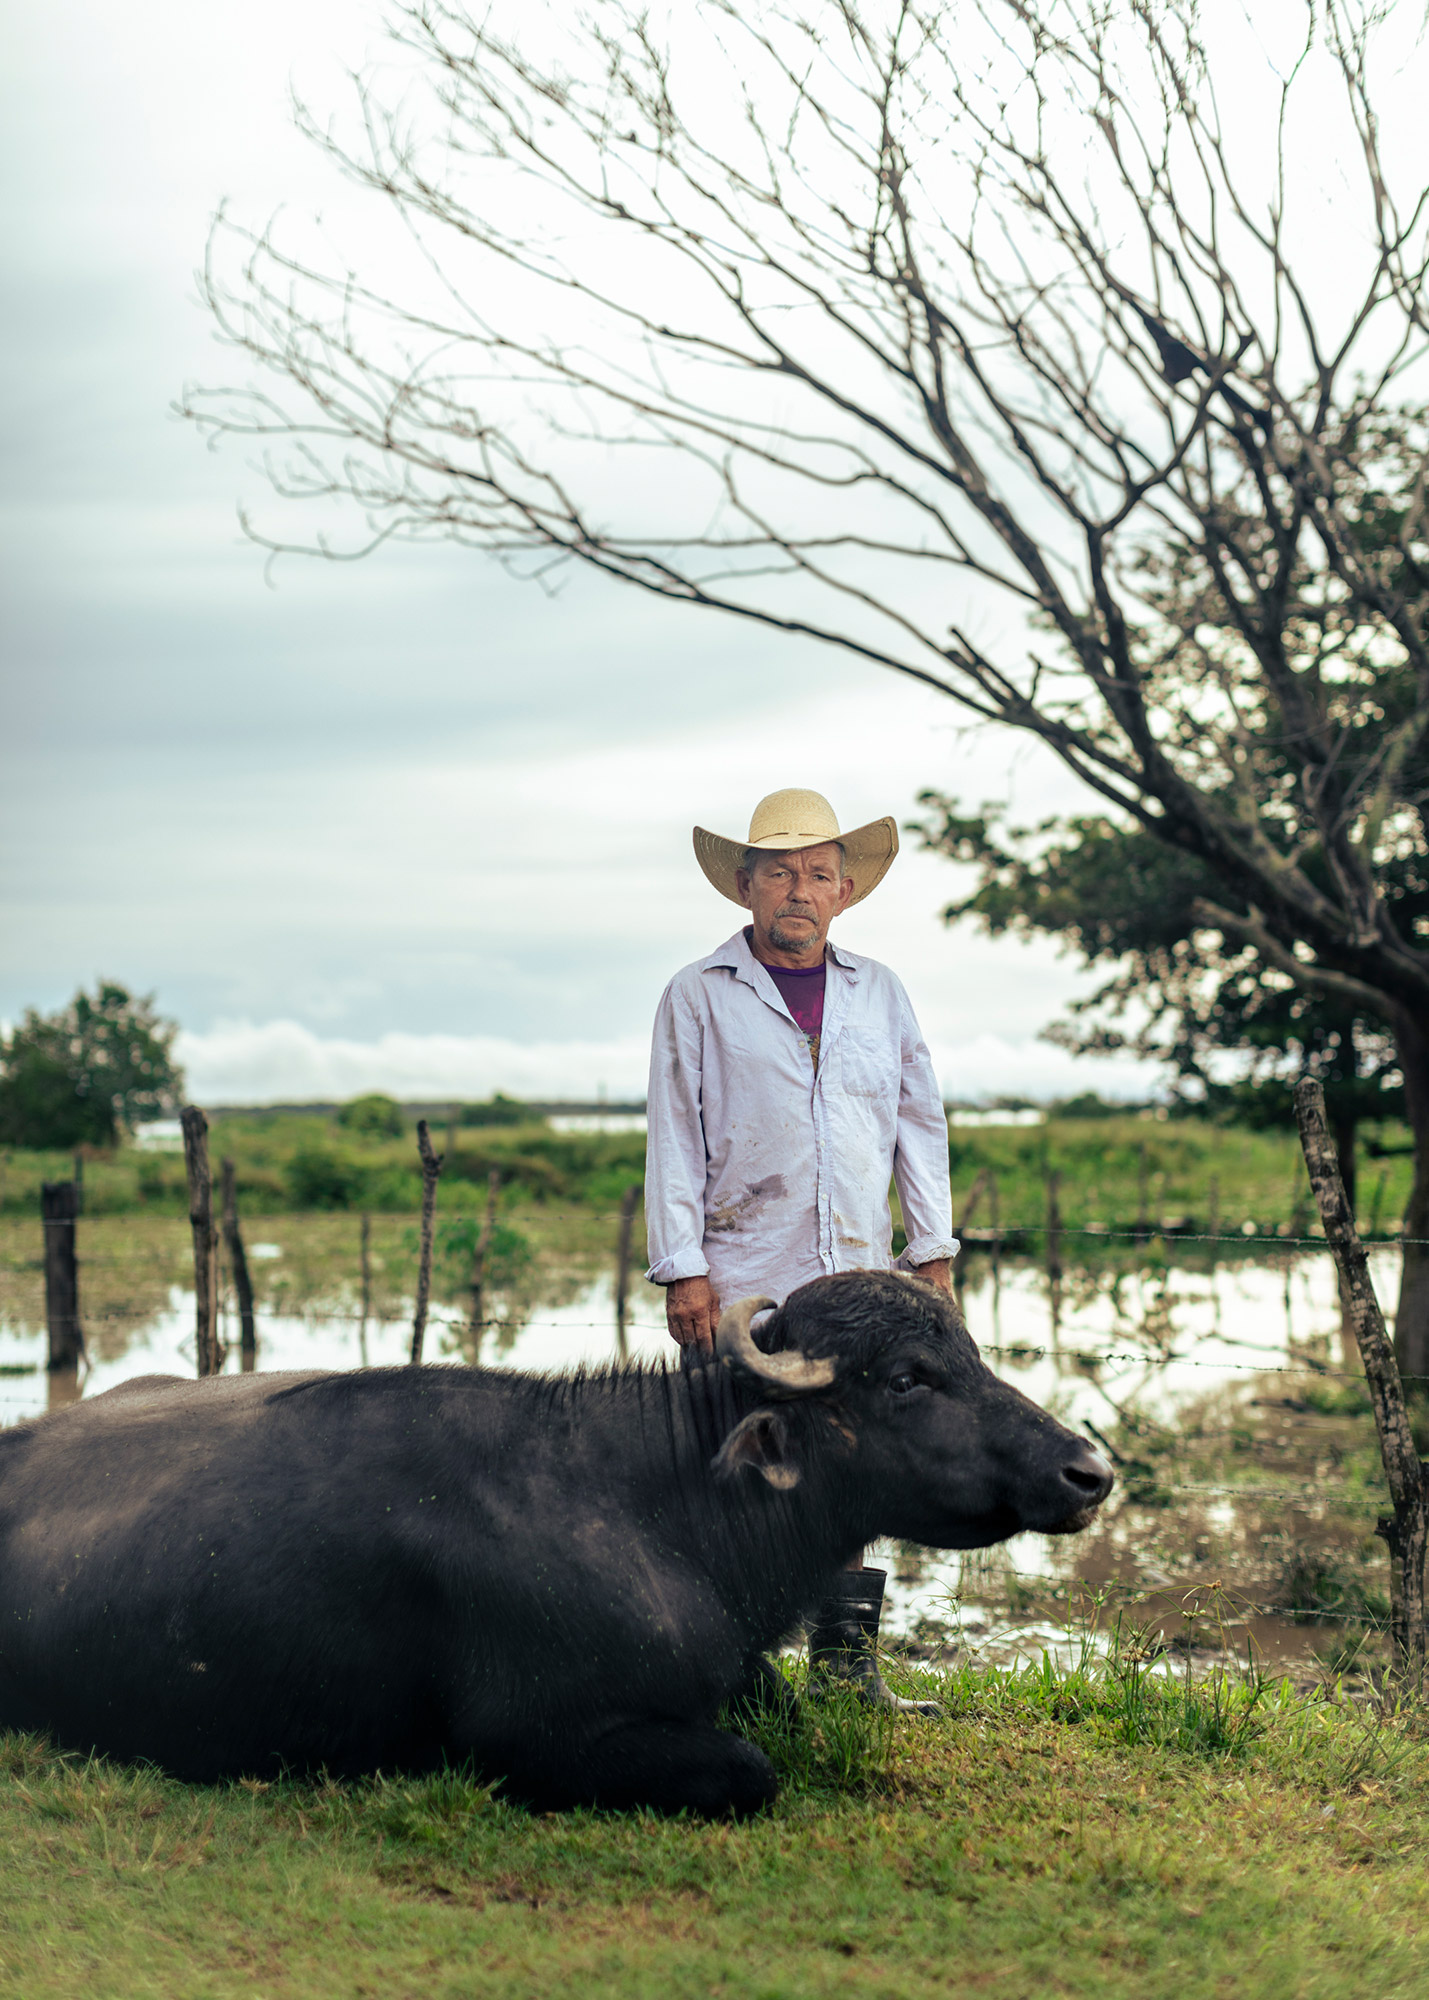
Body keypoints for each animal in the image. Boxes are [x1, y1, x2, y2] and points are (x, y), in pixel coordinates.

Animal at [0, 1280, 1104, 1816]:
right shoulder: (542, 1734)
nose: (1087, 1469)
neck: (660, 1510)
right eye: (911, 1376)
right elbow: (753, 1768)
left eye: (969, 1353)